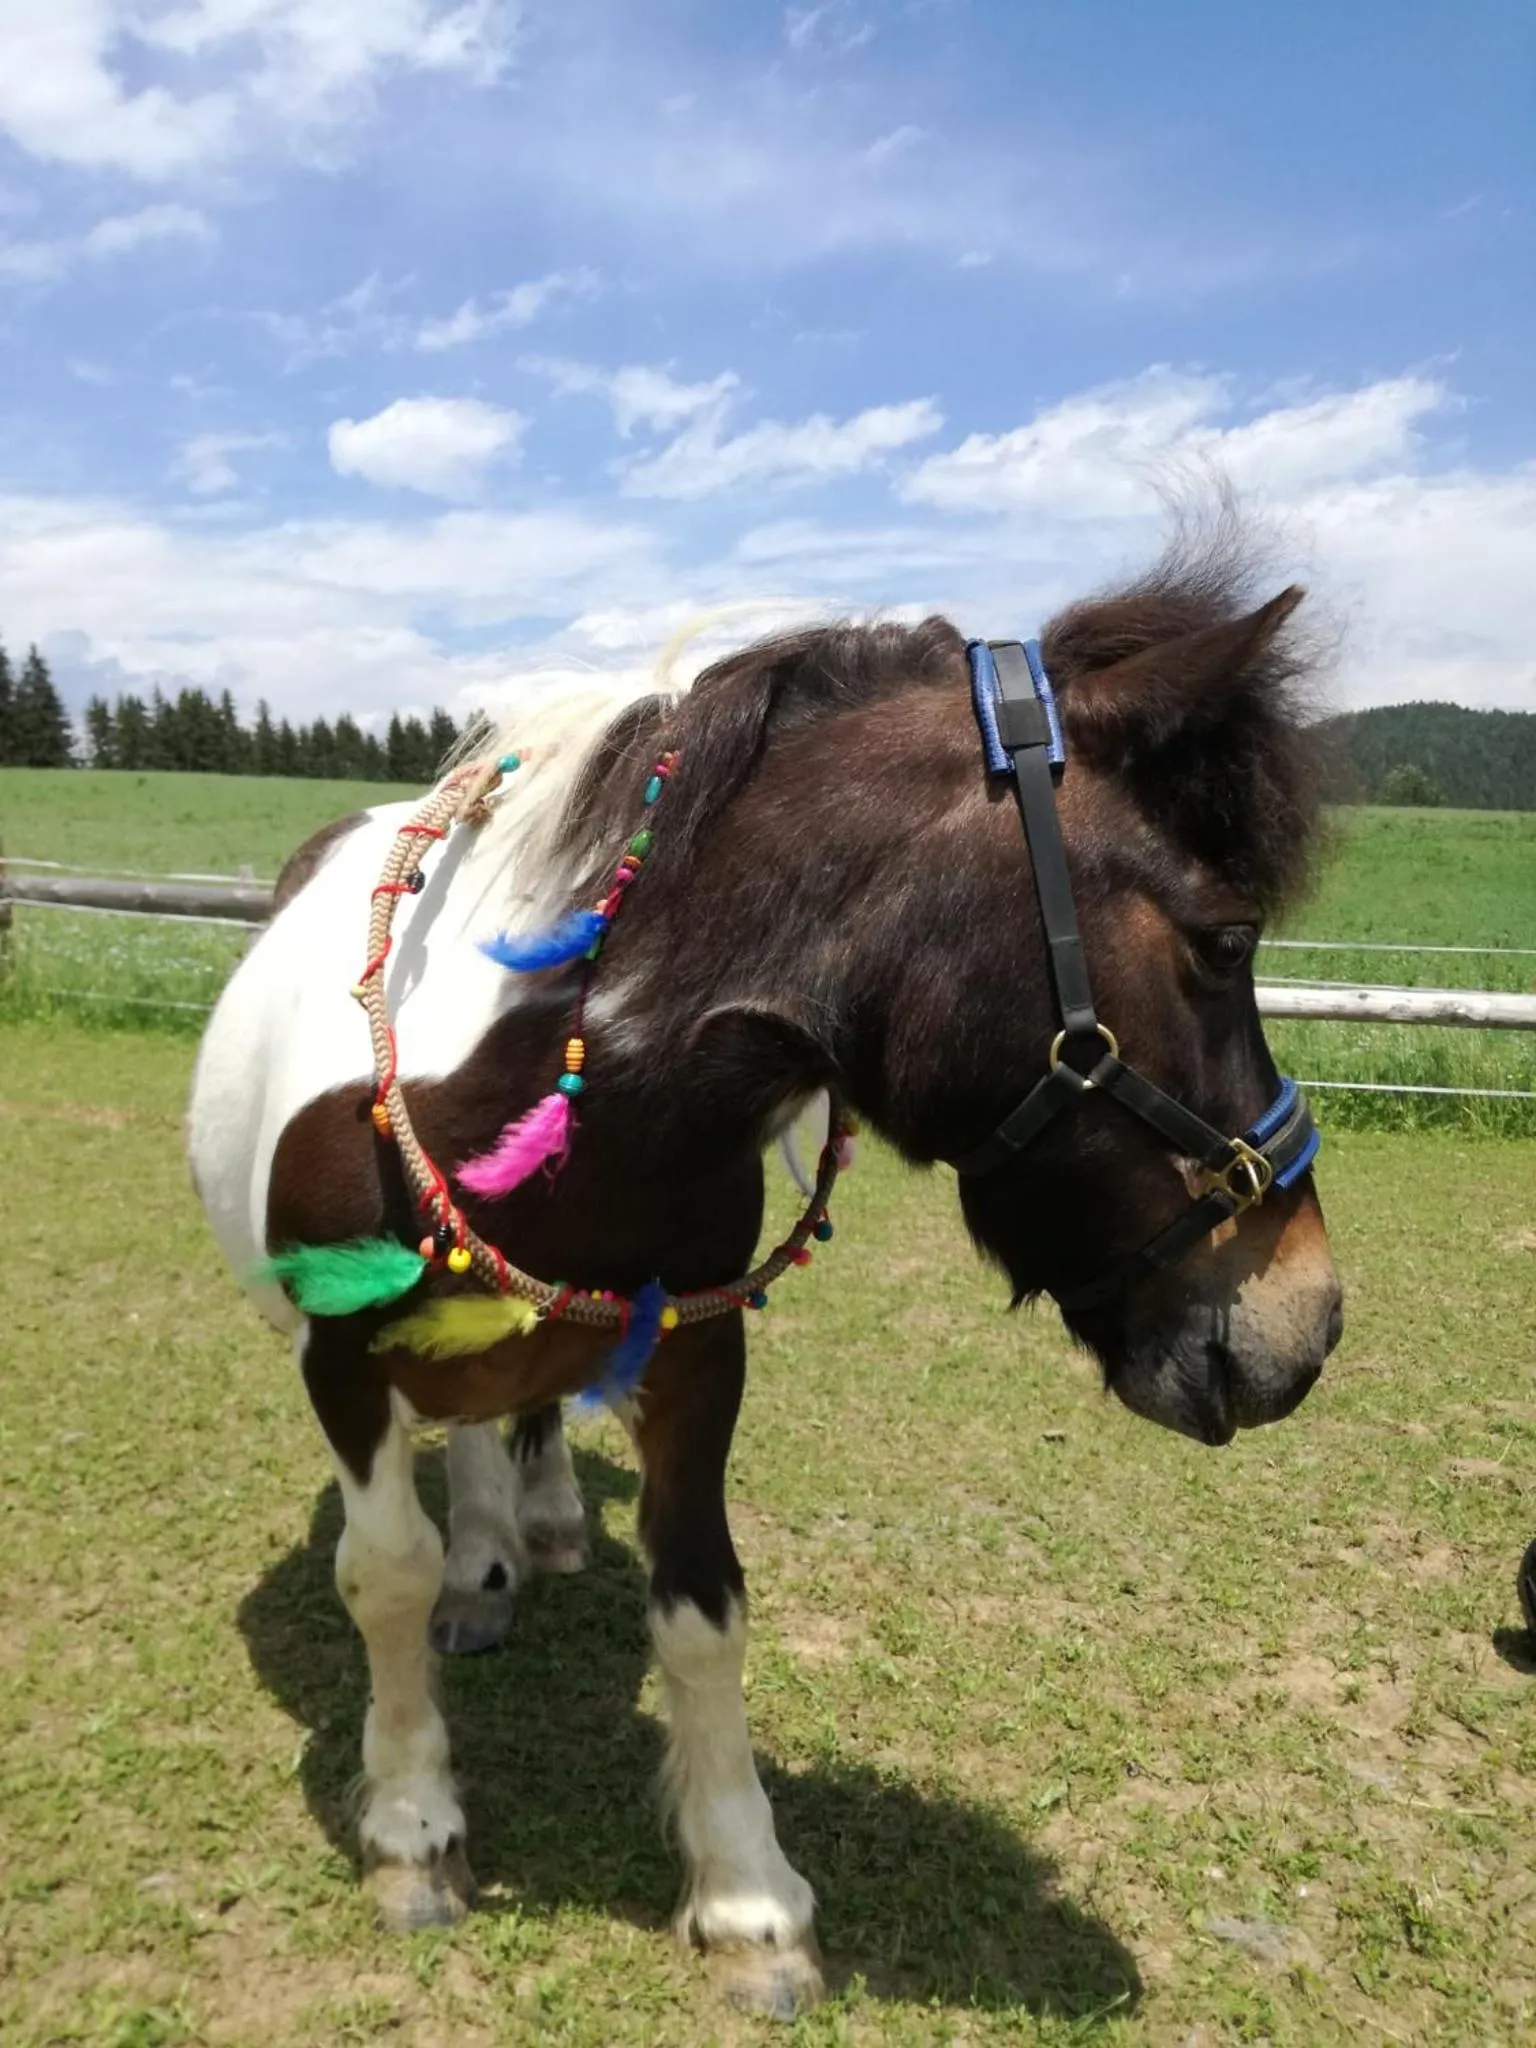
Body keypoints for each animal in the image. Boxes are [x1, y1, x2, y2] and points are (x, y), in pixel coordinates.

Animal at [187, 526, 1343, 2018]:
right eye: (1224, 939)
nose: (1307, 1319)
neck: (567, 1082)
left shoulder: (692, 1348)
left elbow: (703, 1608)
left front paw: (746, 1897)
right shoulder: (340, 1360)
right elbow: (381, 1571)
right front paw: (409, 1828)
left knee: (513, 1415)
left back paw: (518, 1535)